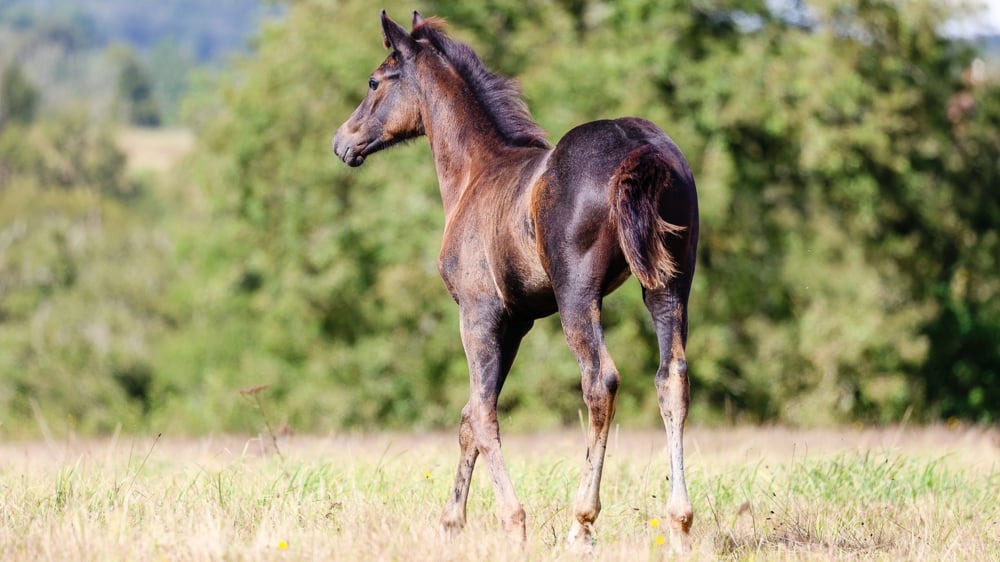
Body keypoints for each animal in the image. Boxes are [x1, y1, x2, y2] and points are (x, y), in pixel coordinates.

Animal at [332, 8, 700, 552]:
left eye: (375, 81)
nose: (342, 142)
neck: (475, 173)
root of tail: (641, 149)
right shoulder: (519, 321)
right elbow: (469, 416)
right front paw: (451, 522)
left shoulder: (479, 312)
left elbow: (483, 415)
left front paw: (512, 521)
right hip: (669, 284)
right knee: (671, 377)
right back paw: (679, 522)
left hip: (577, 295)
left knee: (600, 381)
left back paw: (581, 522)